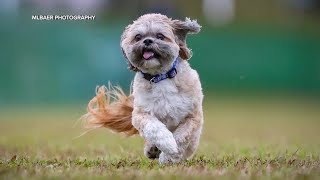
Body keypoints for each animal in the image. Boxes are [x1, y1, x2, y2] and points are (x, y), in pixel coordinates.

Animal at [84, 13, 204, 164]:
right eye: (138, 37)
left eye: (160, 36)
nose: (147, 41)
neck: (160, 77)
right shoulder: (141, 114)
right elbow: (154, 128)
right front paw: (167, 143)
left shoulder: (192, 116)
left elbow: (181, 137)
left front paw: (168, 155)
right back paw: (152, 149)